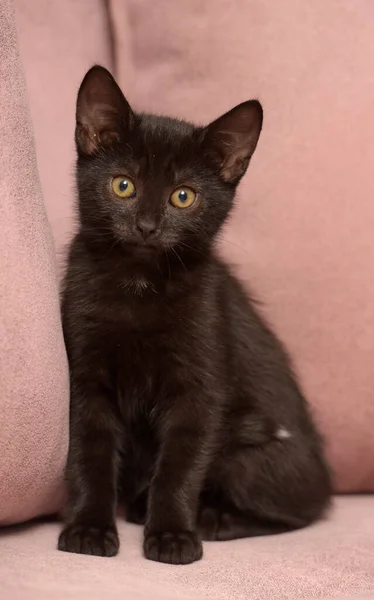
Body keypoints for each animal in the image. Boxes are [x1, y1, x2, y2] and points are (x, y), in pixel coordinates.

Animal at [57, 68, 330, 564]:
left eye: (183, 197)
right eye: (123, 185)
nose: (147, 226)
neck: (140, 284)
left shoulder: (200, 387)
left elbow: (180, 467)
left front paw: (172, 535)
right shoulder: (86, 377)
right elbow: (89, 452)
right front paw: (88, 528)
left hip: (251, 456)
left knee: (298, 514)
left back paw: (214, 519)